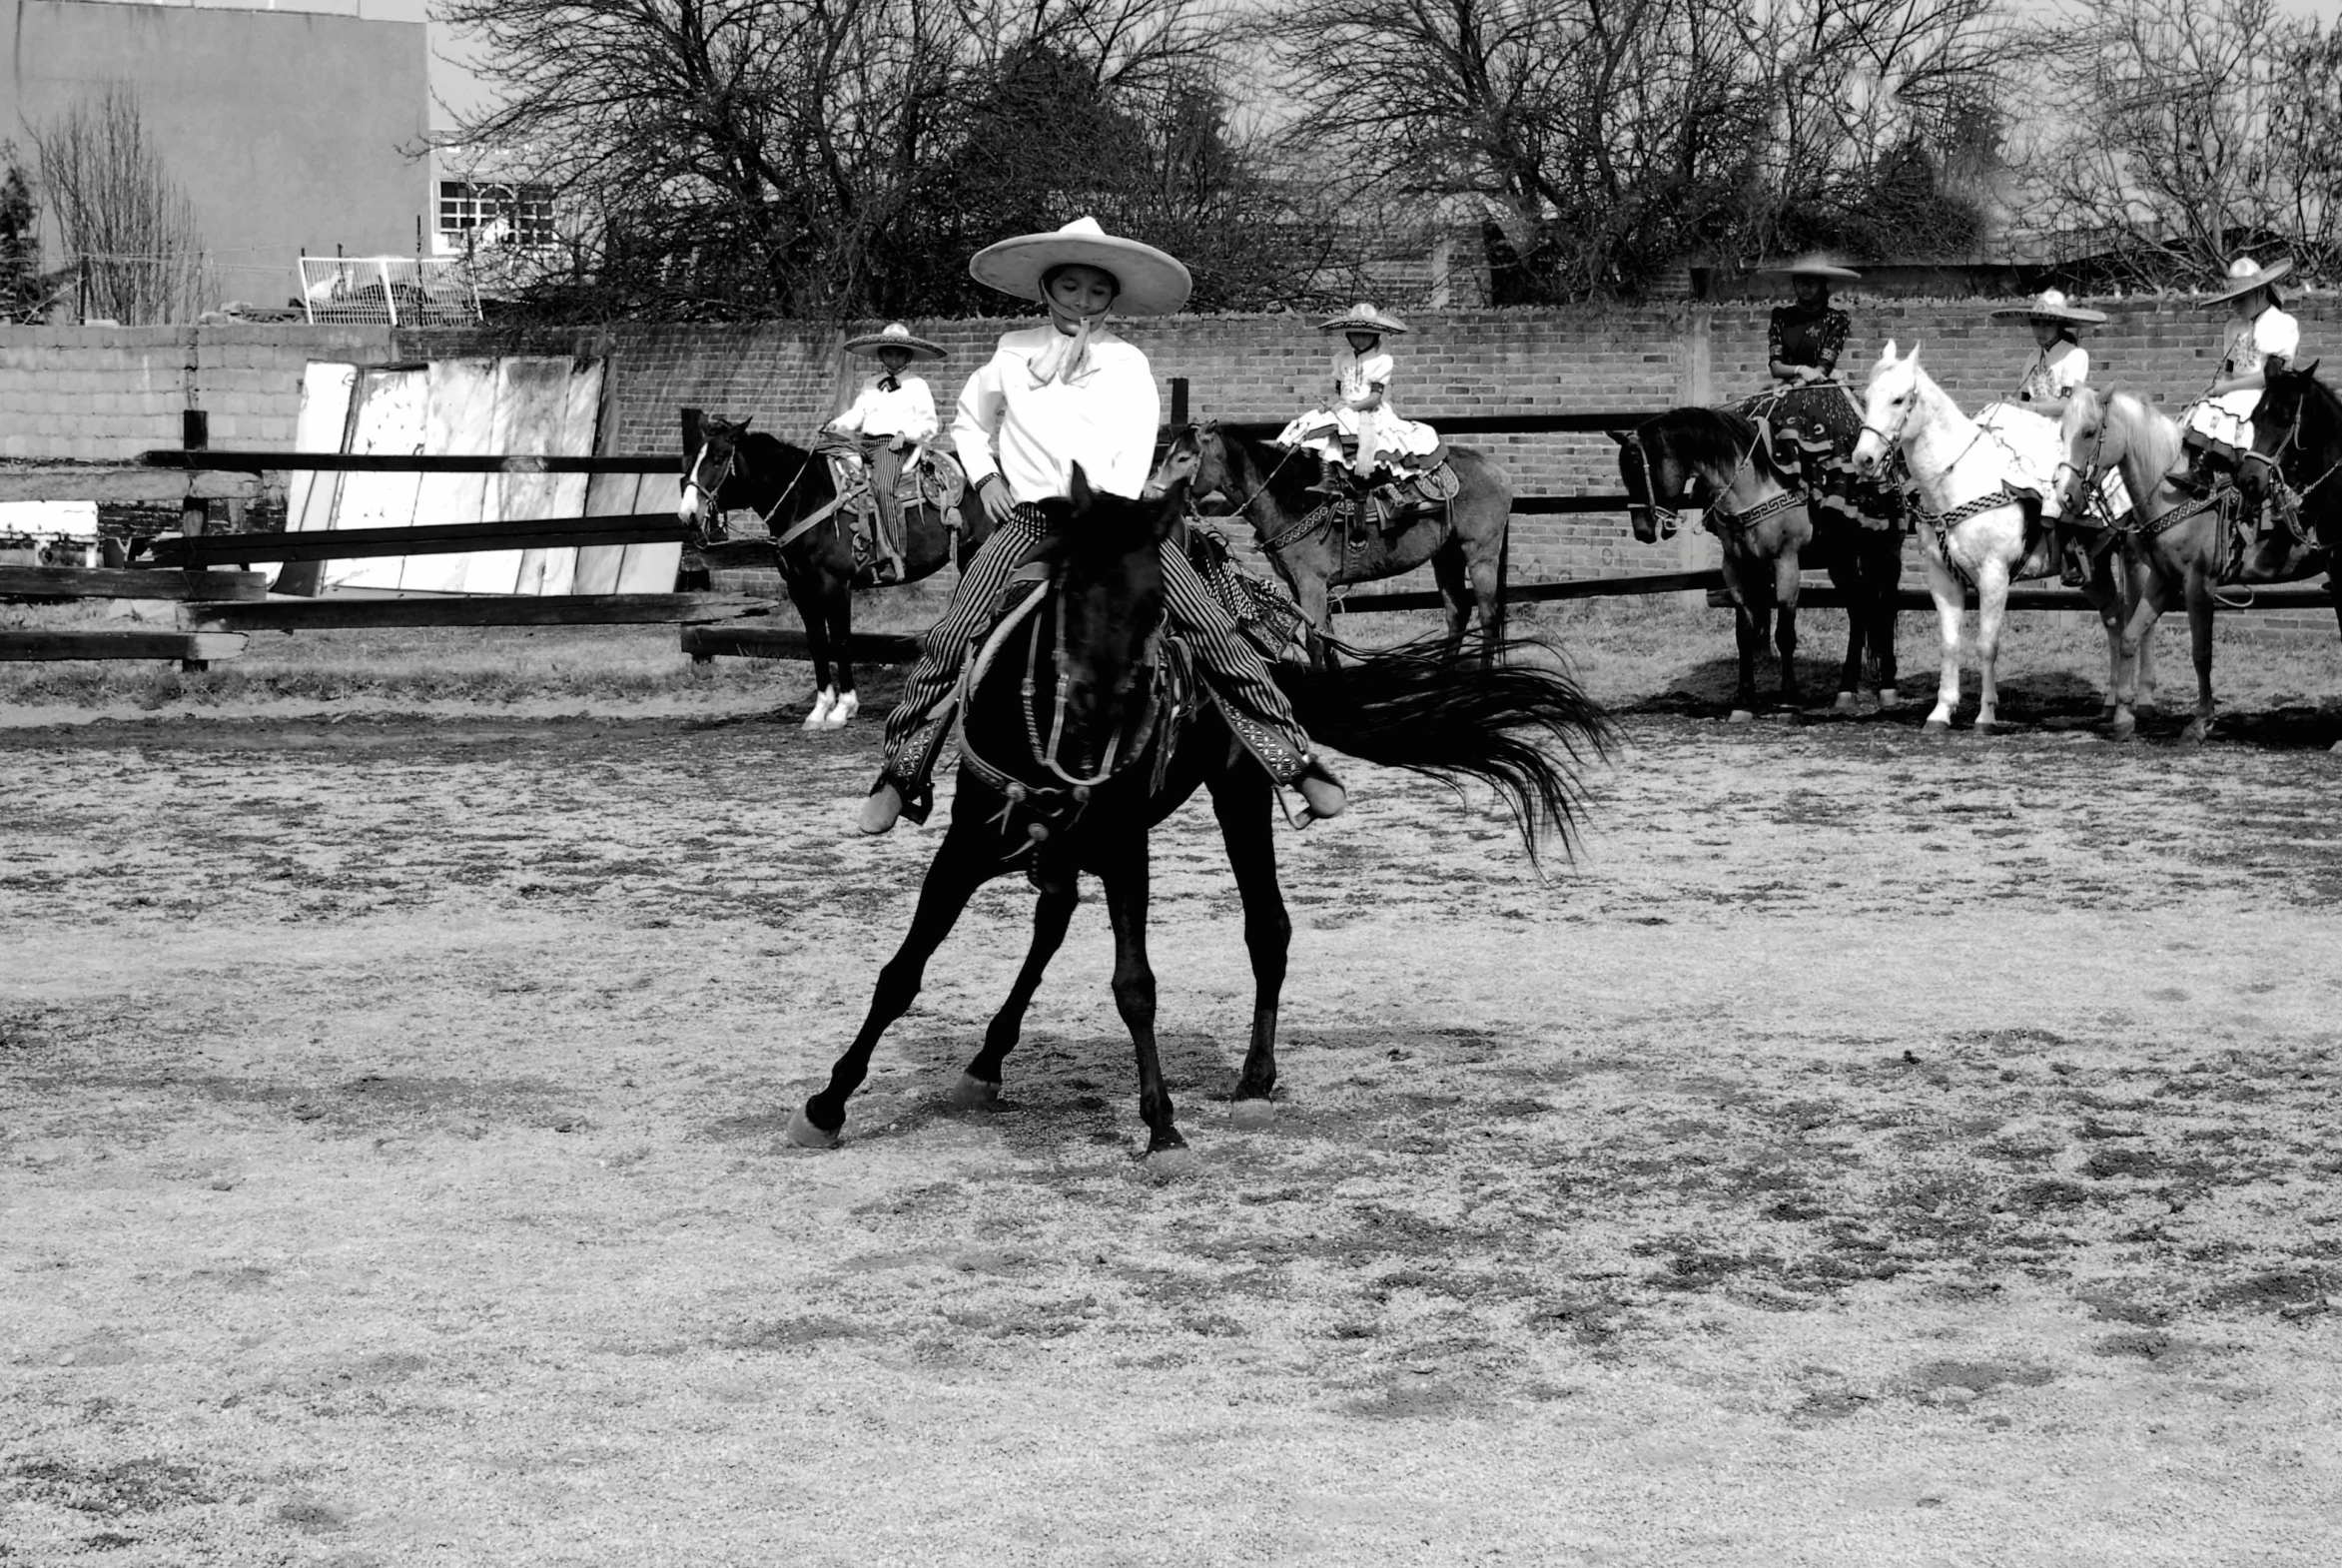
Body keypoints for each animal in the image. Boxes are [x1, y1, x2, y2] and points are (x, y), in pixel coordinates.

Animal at [679, 413, 988, 730]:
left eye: (718, 459)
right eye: (689, 460)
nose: (687, 513)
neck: (806, 500)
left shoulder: (835, 586)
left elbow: (840, 641)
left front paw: (843, 709)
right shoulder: (800, 589)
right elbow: (817, 643)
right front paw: (819, 710)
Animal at [786, 467, 1611, 1165]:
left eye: (1156, 604)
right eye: (1070, 587)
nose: (1104, 711)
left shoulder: (1125, 845)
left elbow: (1134, 985)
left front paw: (1161, 1125)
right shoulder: (968, 841)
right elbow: (902, 973)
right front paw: (827, 1104)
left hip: (1238, 794)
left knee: (1266, 928)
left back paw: (1253, 1080)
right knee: (1051, 928)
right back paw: (987, 1062)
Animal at [1152, 423, 1517, 664]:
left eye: (1183, 458)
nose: (1153, 492)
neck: (1296, 498)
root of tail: (1496, 471)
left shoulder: (1312, 582)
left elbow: (1315, 642)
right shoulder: (1301, 586)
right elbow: (1326, 640)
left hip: (1480, 554)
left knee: (1488, 615)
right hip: (1446, 555)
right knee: (1457, 612)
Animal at [1620, 409, 1911, 720]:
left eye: (1640, 469)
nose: (1642, 531)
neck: (1752, 485)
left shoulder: (1786, 563)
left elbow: (1784, 634)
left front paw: (1788, 700)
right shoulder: (1736, 567)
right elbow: (1745, 635)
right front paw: (1744, 702)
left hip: (1885, 552)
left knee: (1885, 607)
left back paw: (1887, 687)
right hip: (1840, 559)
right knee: (1859, 611)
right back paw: (1846, 690)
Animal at [1855, 342, 2145, 734]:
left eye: (1899, 399)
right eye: (1867, 397)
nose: (1864, 459)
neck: (1958, 481)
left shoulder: (1994, 576)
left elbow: (1986, 645)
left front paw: (1985, 715)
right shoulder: (1942, 578)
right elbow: (1950, 643)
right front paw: (1941, 712)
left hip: (2136, 557)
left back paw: (2135, 703)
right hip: (2094, 569)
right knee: (2114, 620)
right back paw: (2111, 703)